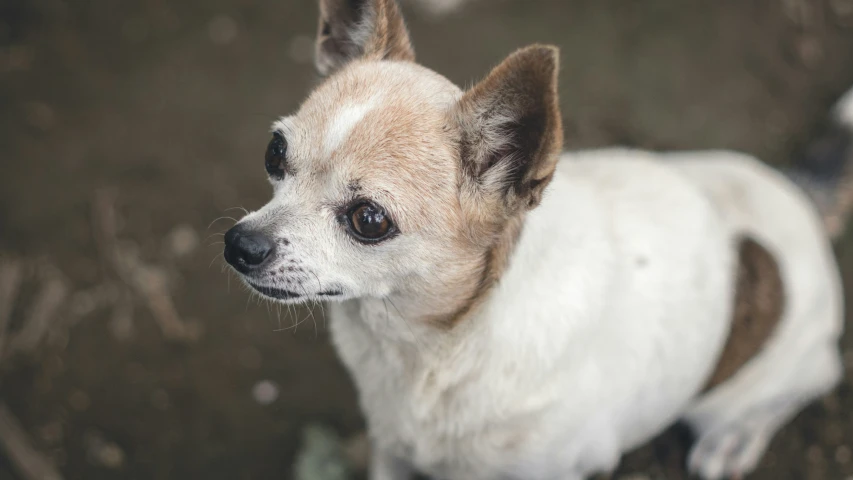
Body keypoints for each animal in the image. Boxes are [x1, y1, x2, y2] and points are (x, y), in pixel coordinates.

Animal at [223, 1, 848, 478]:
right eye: (275, 153)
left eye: (369, 220)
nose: (238, 245)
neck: (434, 349)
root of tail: (796, 190)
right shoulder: (392, 453)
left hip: (741, 390)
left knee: (814, 377)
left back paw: (736, 438)